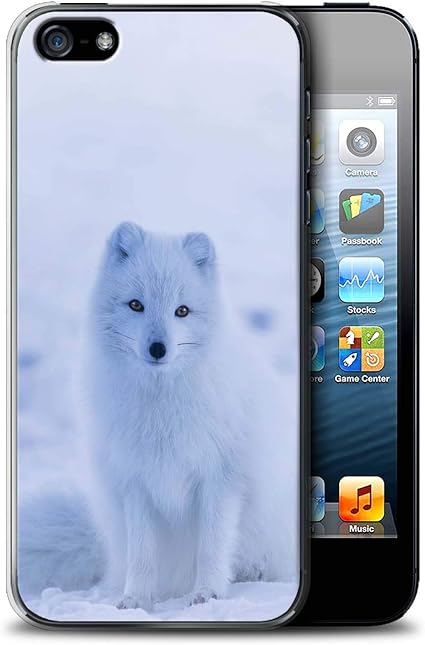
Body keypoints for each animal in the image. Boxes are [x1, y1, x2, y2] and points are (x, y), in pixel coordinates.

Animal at [18, 222, 298, 611]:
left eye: (182, 311)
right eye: (136, 304)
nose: (157, 348)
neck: (161, 405)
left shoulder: (221, 478)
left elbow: (211, 546)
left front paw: (208, 594)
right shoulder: (135, 482)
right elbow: (142, 554)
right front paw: (135, 599)